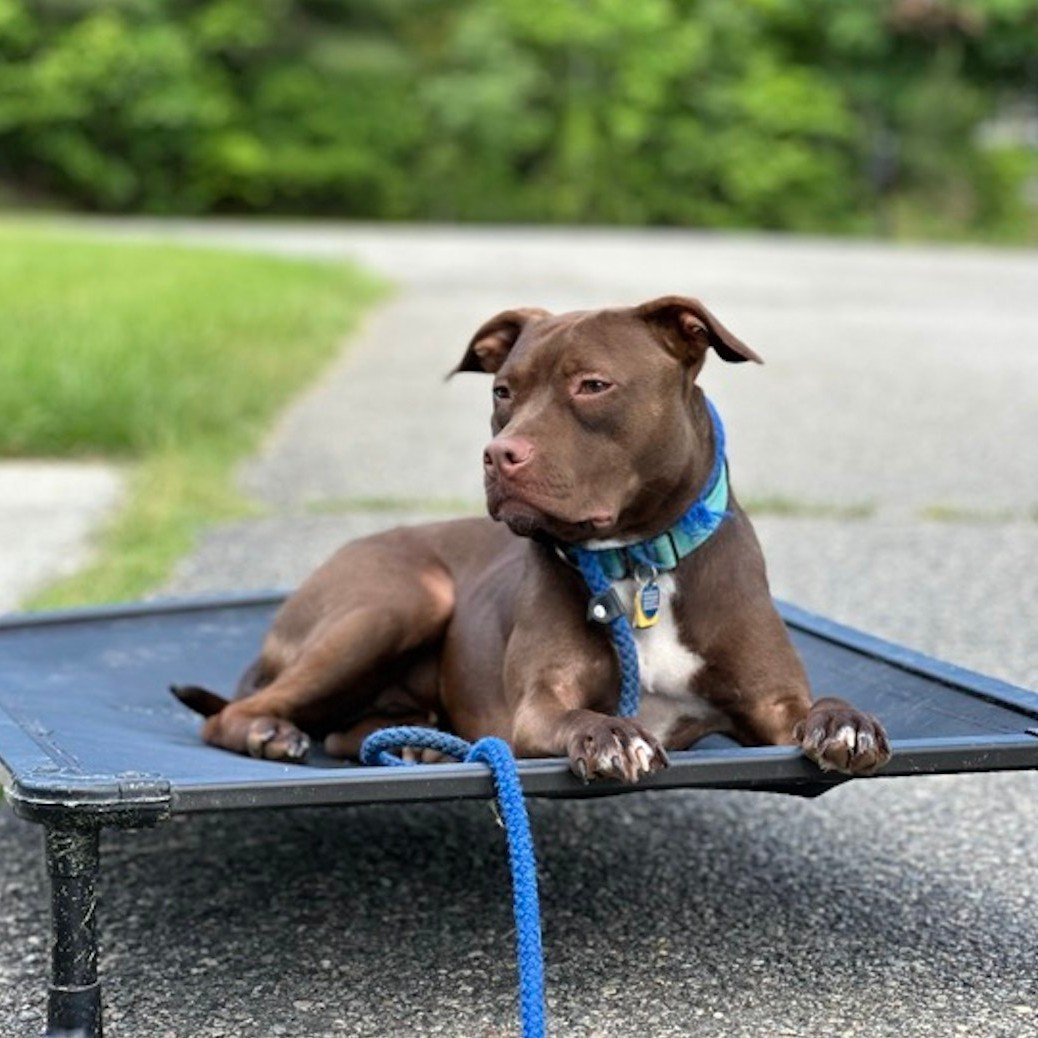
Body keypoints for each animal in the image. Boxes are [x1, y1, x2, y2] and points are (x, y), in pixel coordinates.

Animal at [174, 296, 888, 780]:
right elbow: (577, 715)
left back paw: (408, 742)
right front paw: (610, 734)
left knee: (350, 735)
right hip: (401, 599)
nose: (498, 455)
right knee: (231, 715)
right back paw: (271, 732)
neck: (639, 562)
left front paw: (845, 720)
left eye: (593, 385)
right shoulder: (535, 709)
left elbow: (812, 705)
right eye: (502, 391)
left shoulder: (771, 704)